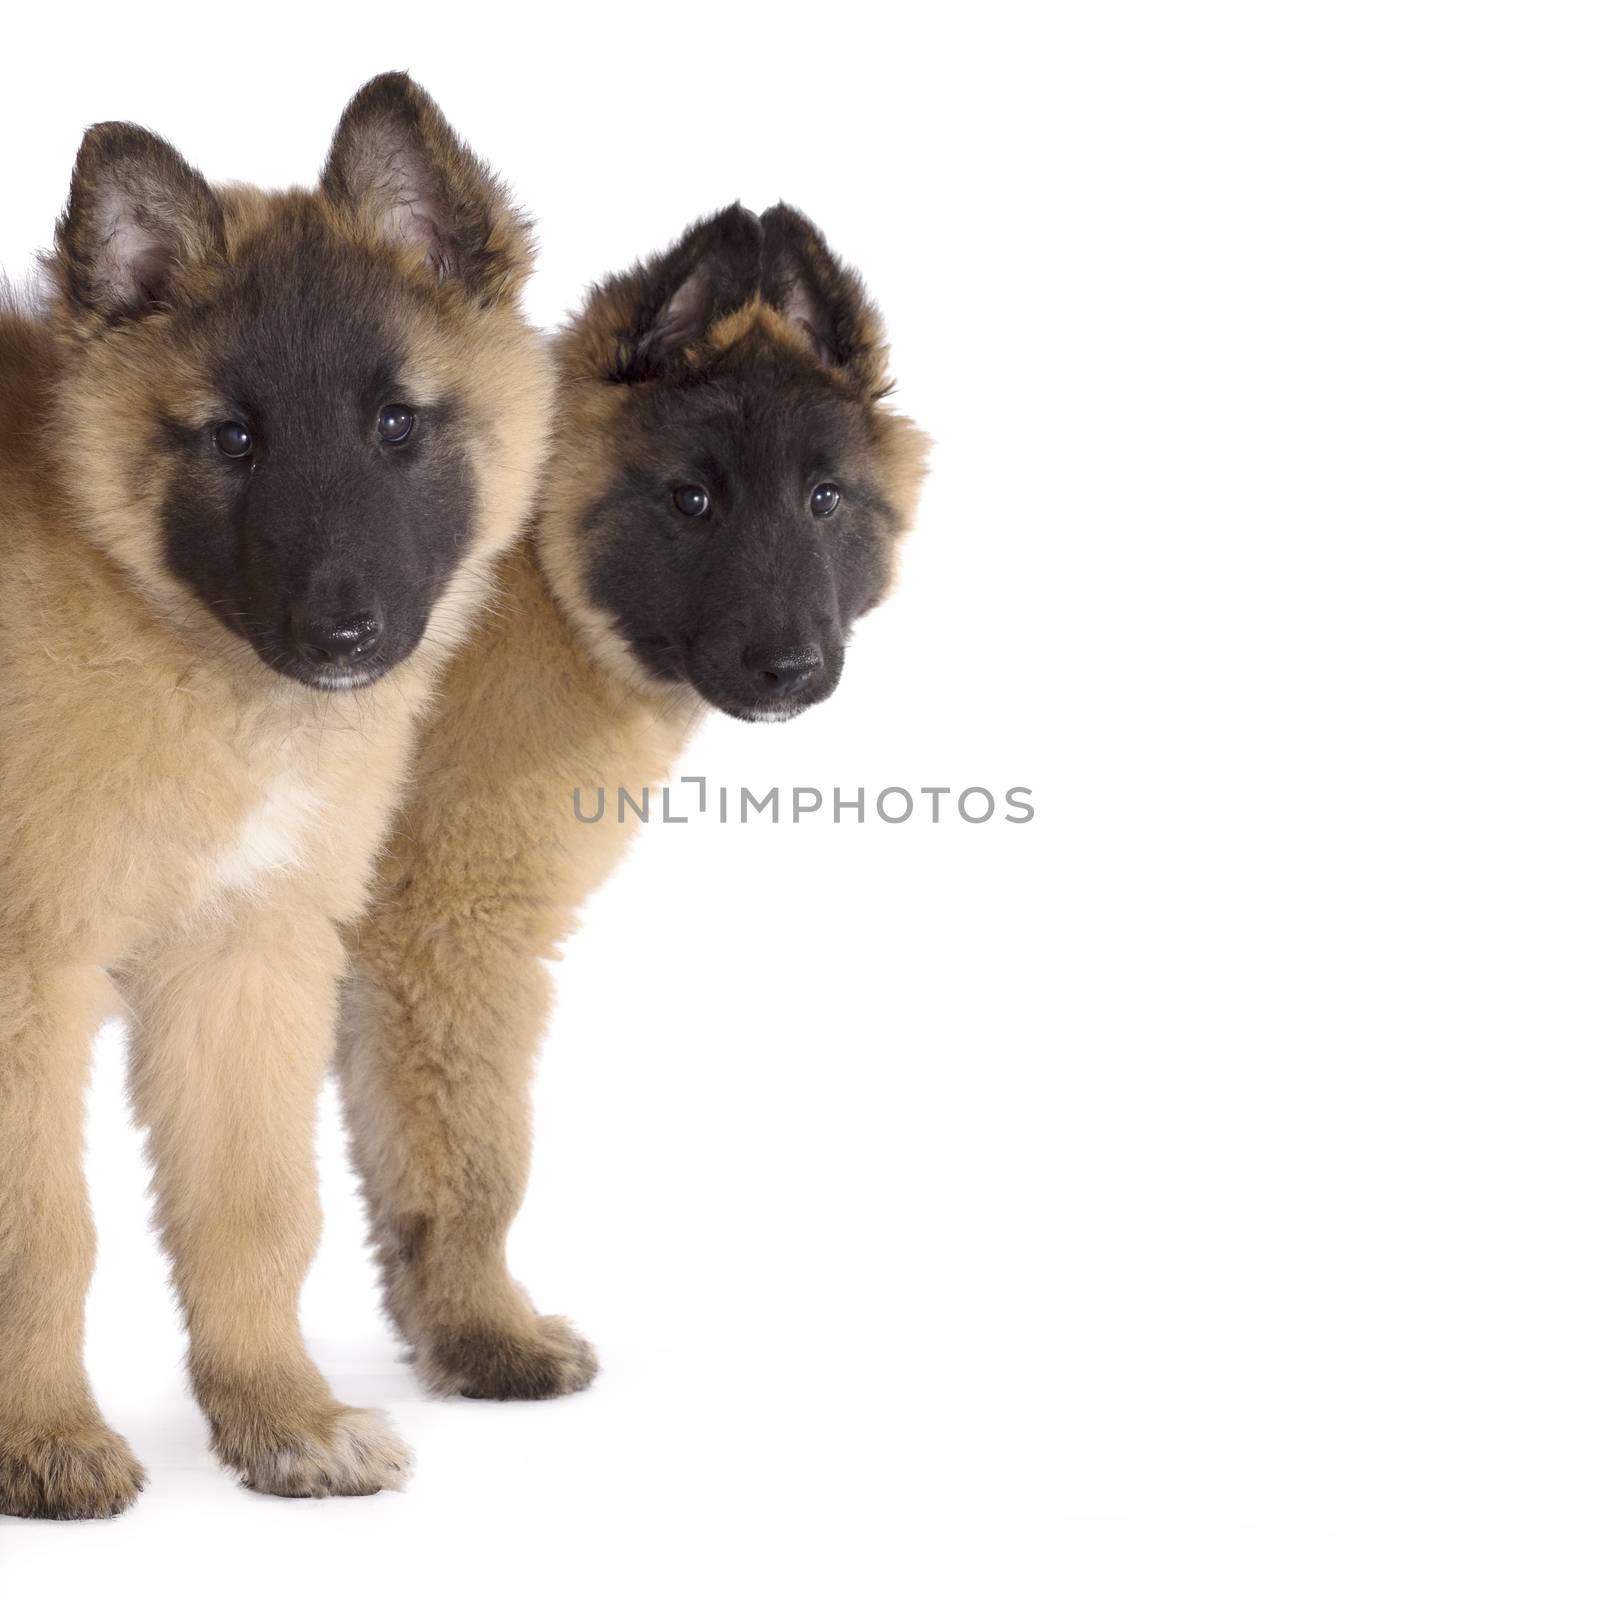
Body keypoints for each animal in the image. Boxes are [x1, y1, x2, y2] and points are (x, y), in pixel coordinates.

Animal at [0, 75, 550, 1516]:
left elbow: (253, 1208)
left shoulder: (244, 954)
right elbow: (42, 1227)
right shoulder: (25, 978)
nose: (342, 633)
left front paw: (280, 1419)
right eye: (234, 439)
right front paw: (40, 1440)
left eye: (397, 423)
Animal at [344, 209, 934, 1401]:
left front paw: (438, 1329)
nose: (788, 669)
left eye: (825, 498)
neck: (545, 576)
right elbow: (471, 1152)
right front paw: (488, 1338)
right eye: (691, 499)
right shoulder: (450, 927)